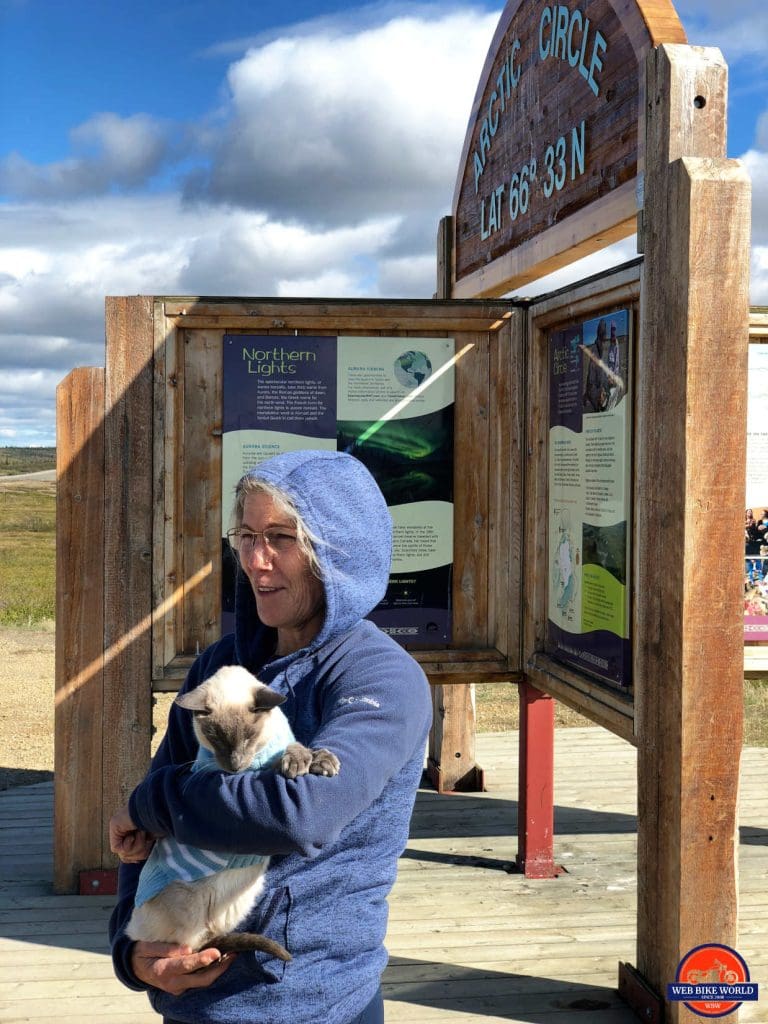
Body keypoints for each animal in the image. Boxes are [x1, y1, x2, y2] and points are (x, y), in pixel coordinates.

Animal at [124, 663, 342, 958]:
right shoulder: (249, 773)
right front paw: (299, 764)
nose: (235, 765)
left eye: (248, 737)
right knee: (192, 944)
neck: (262, 750)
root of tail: (132, 931)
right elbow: (281, 761)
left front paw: (322, 761)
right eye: (216, 739)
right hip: (189, 903)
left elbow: (299, 746)